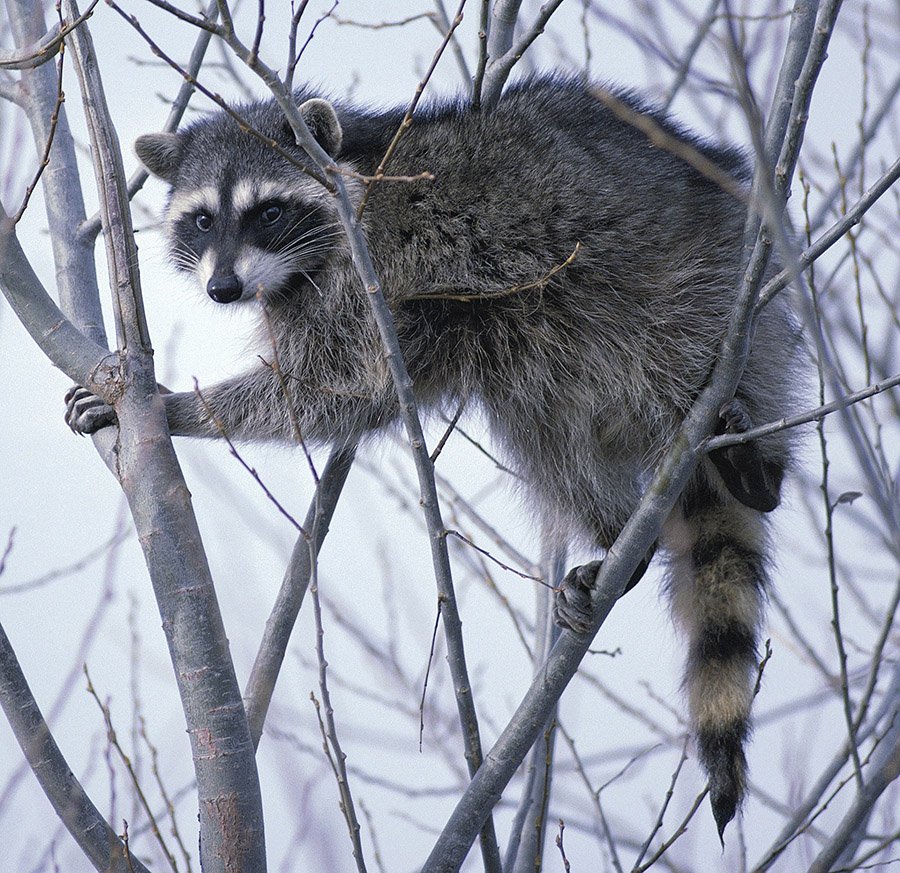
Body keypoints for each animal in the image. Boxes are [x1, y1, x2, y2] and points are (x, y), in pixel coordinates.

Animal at [68, 78, 800, 836]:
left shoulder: (374, 273)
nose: (223, 289)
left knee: (664, 357)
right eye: (203, 220)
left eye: (268, 211)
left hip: (696, 288)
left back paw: (756, 466)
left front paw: (175, 406)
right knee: (542, 424)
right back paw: (619, 531)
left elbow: (334, 385)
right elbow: (347, 396)